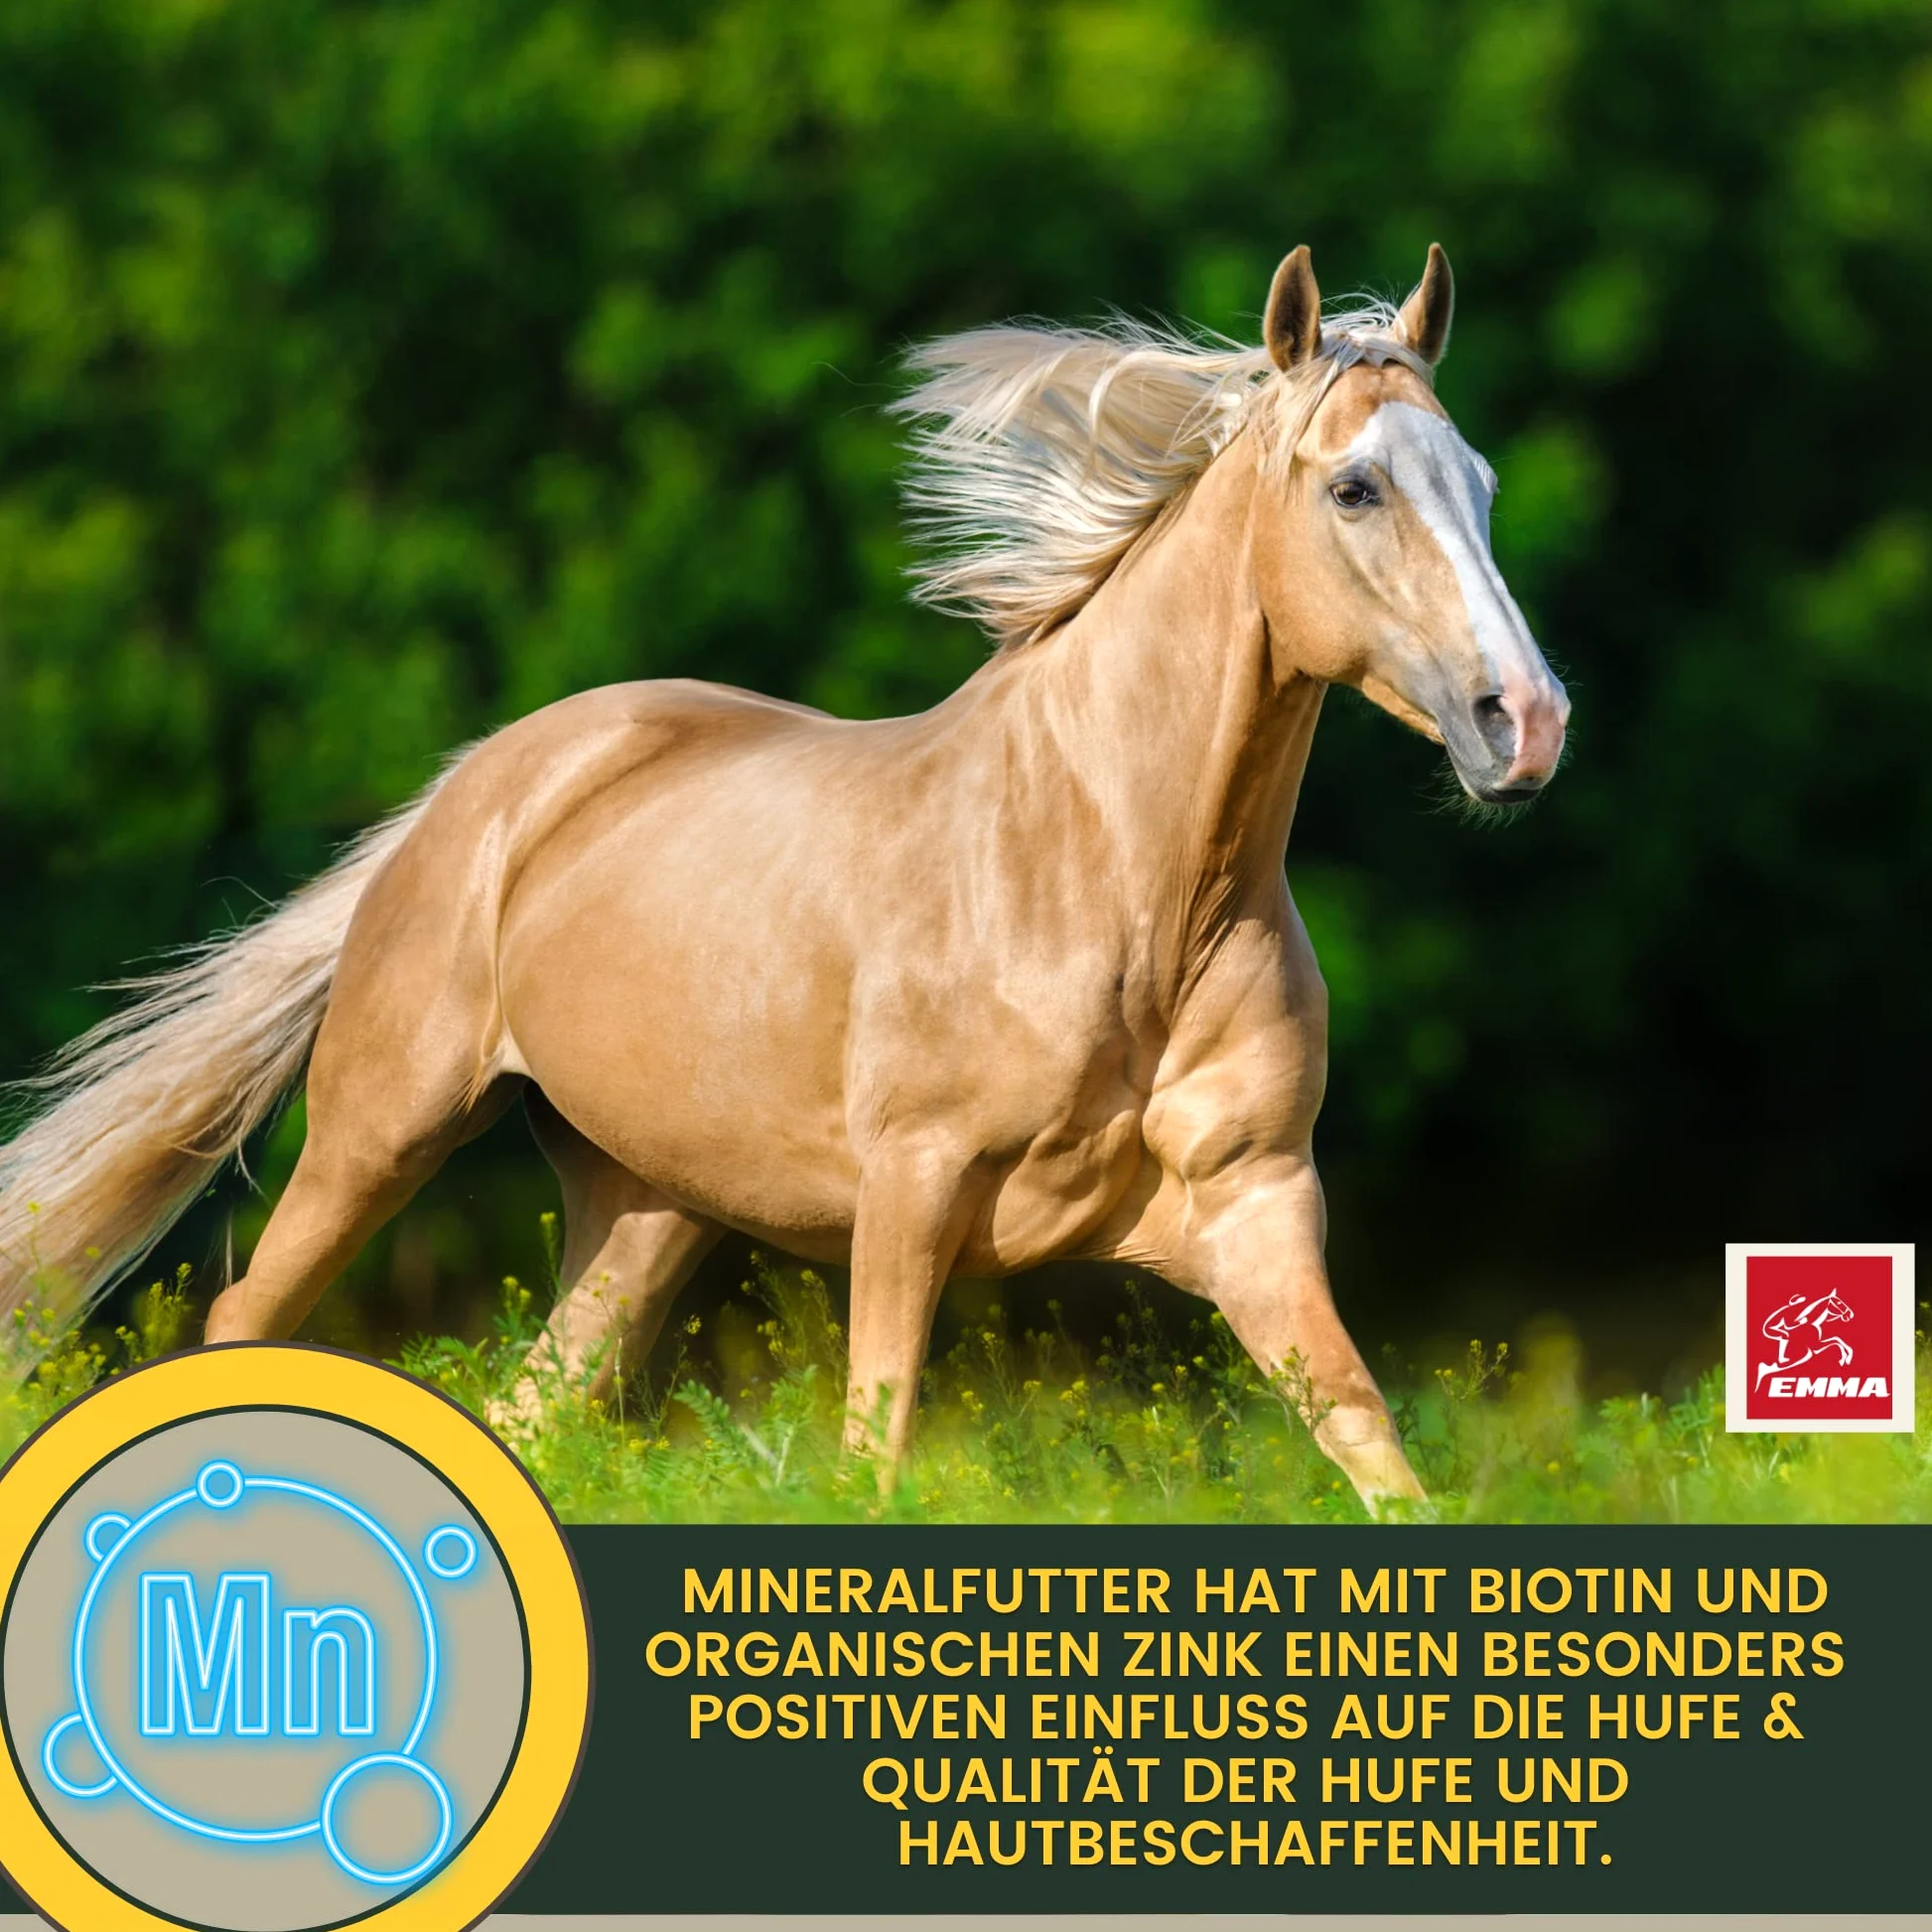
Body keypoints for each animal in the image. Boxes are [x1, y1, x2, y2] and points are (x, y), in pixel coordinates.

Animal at [0, 244, 1568, 1511]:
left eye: (1485, 486)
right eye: (1354, 486)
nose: (1525, 722)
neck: (1122, 890)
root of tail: (477, 787)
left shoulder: (1254, 1205)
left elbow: (1374, 1448)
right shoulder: (910, 1191)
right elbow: (872, 1454)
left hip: (642, 1205)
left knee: (534, 1405)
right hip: (380, 1126)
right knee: (245, 1319)